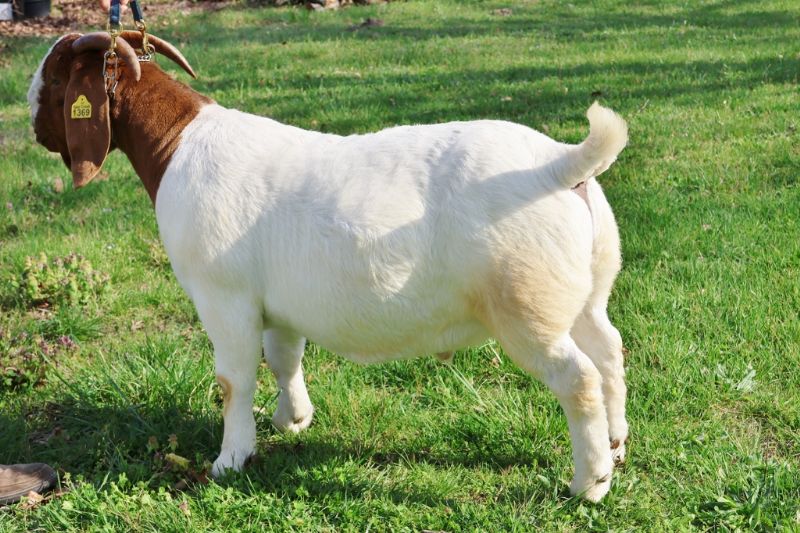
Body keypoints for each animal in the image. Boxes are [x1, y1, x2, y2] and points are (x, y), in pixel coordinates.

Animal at [28, 32, 629, 501]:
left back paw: (590, 482)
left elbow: (234, 379)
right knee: (608, 349)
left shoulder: (224, 298)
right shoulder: (278, 304)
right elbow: (284, 358)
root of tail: (558, 167)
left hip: (527, 307)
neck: (178, 144)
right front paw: (291, 420)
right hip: (586, 293)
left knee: (578, 377)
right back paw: (617, 442)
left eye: (55, 81)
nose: (35, 128)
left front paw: (230, 460)